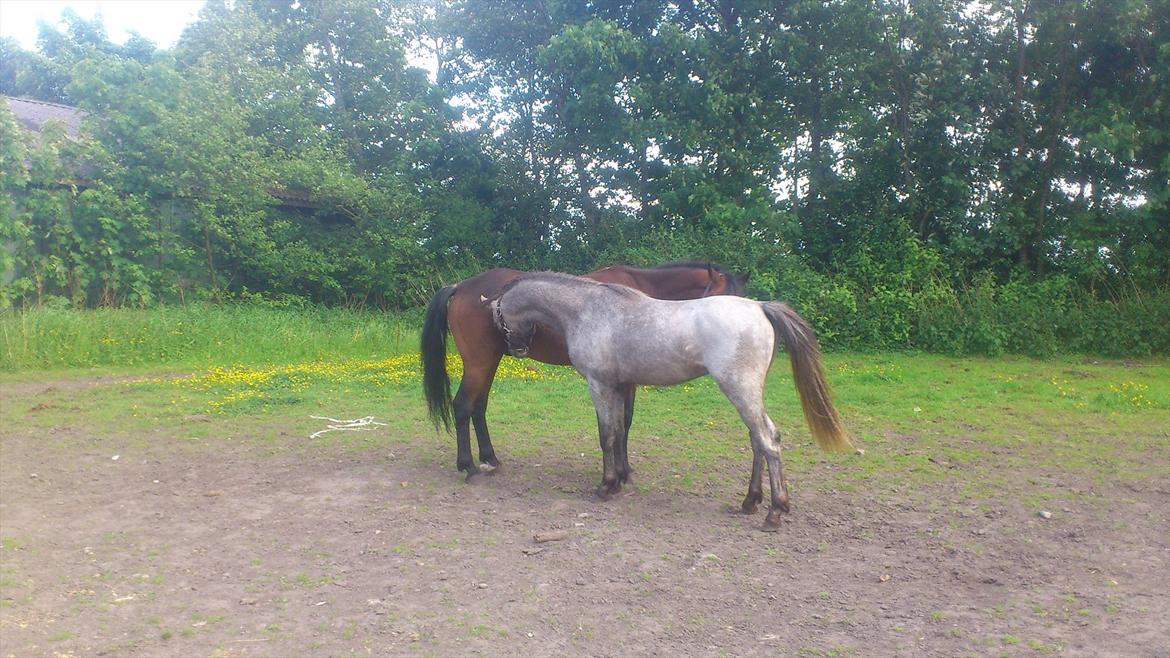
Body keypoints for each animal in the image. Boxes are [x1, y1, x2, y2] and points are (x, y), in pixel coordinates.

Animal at [421, 262, 747, 480]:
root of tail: (460, 287)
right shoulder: (625, 381)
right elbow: (623, 421)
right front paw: (623, 471)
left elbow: (622, 422)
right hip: (479, 362)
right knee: (463, 406)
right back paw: (468, 466)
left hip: (490, 362)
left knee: (479, 407)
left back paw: (490, 459)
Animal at [489, 272, 850, 531]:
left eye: (500, 321)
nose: (518, 348)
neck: (587, 309)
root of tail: (759, 307)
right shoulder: (618, 386)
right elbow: (618, 431)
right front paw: (618, 480)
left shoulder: (600, 385)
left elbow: (607, 435)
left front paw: (606, 486)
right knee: (759, 441)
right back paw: (751, 501)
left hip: (740, 390)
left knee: (767, 440)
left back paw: (773, 512)